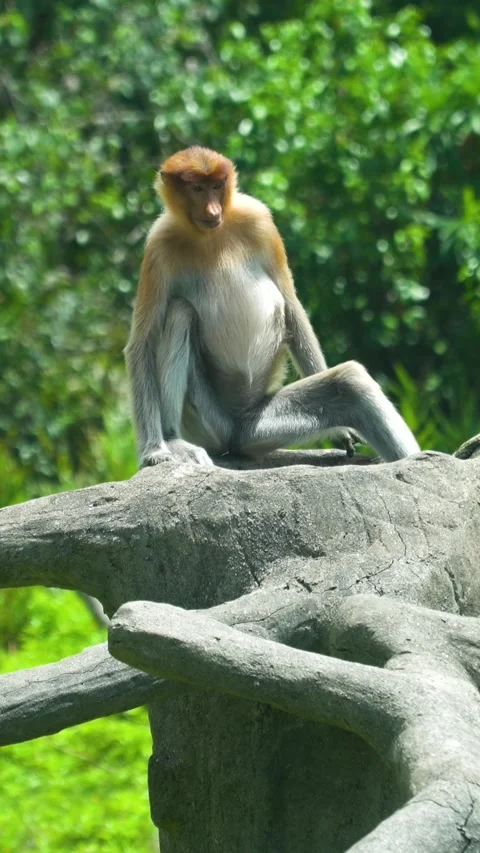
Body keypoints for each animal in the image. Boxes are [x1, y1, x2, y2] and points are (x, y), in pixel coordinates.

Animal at [125, 145, 420, 468]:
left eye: (217, 186)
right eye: (197, 188)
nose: (213, 212)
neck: (209, 235)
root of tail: (236, 430)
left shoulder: (260, 220)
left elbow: (291, 306)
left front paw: (343, 433)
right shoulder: (157, 247)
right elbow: (142, 343)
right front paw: (154, 451)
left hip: (260, 423)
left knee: (348, 382)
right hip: (208, 421)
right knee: (180, 312)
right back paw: (174, 439)